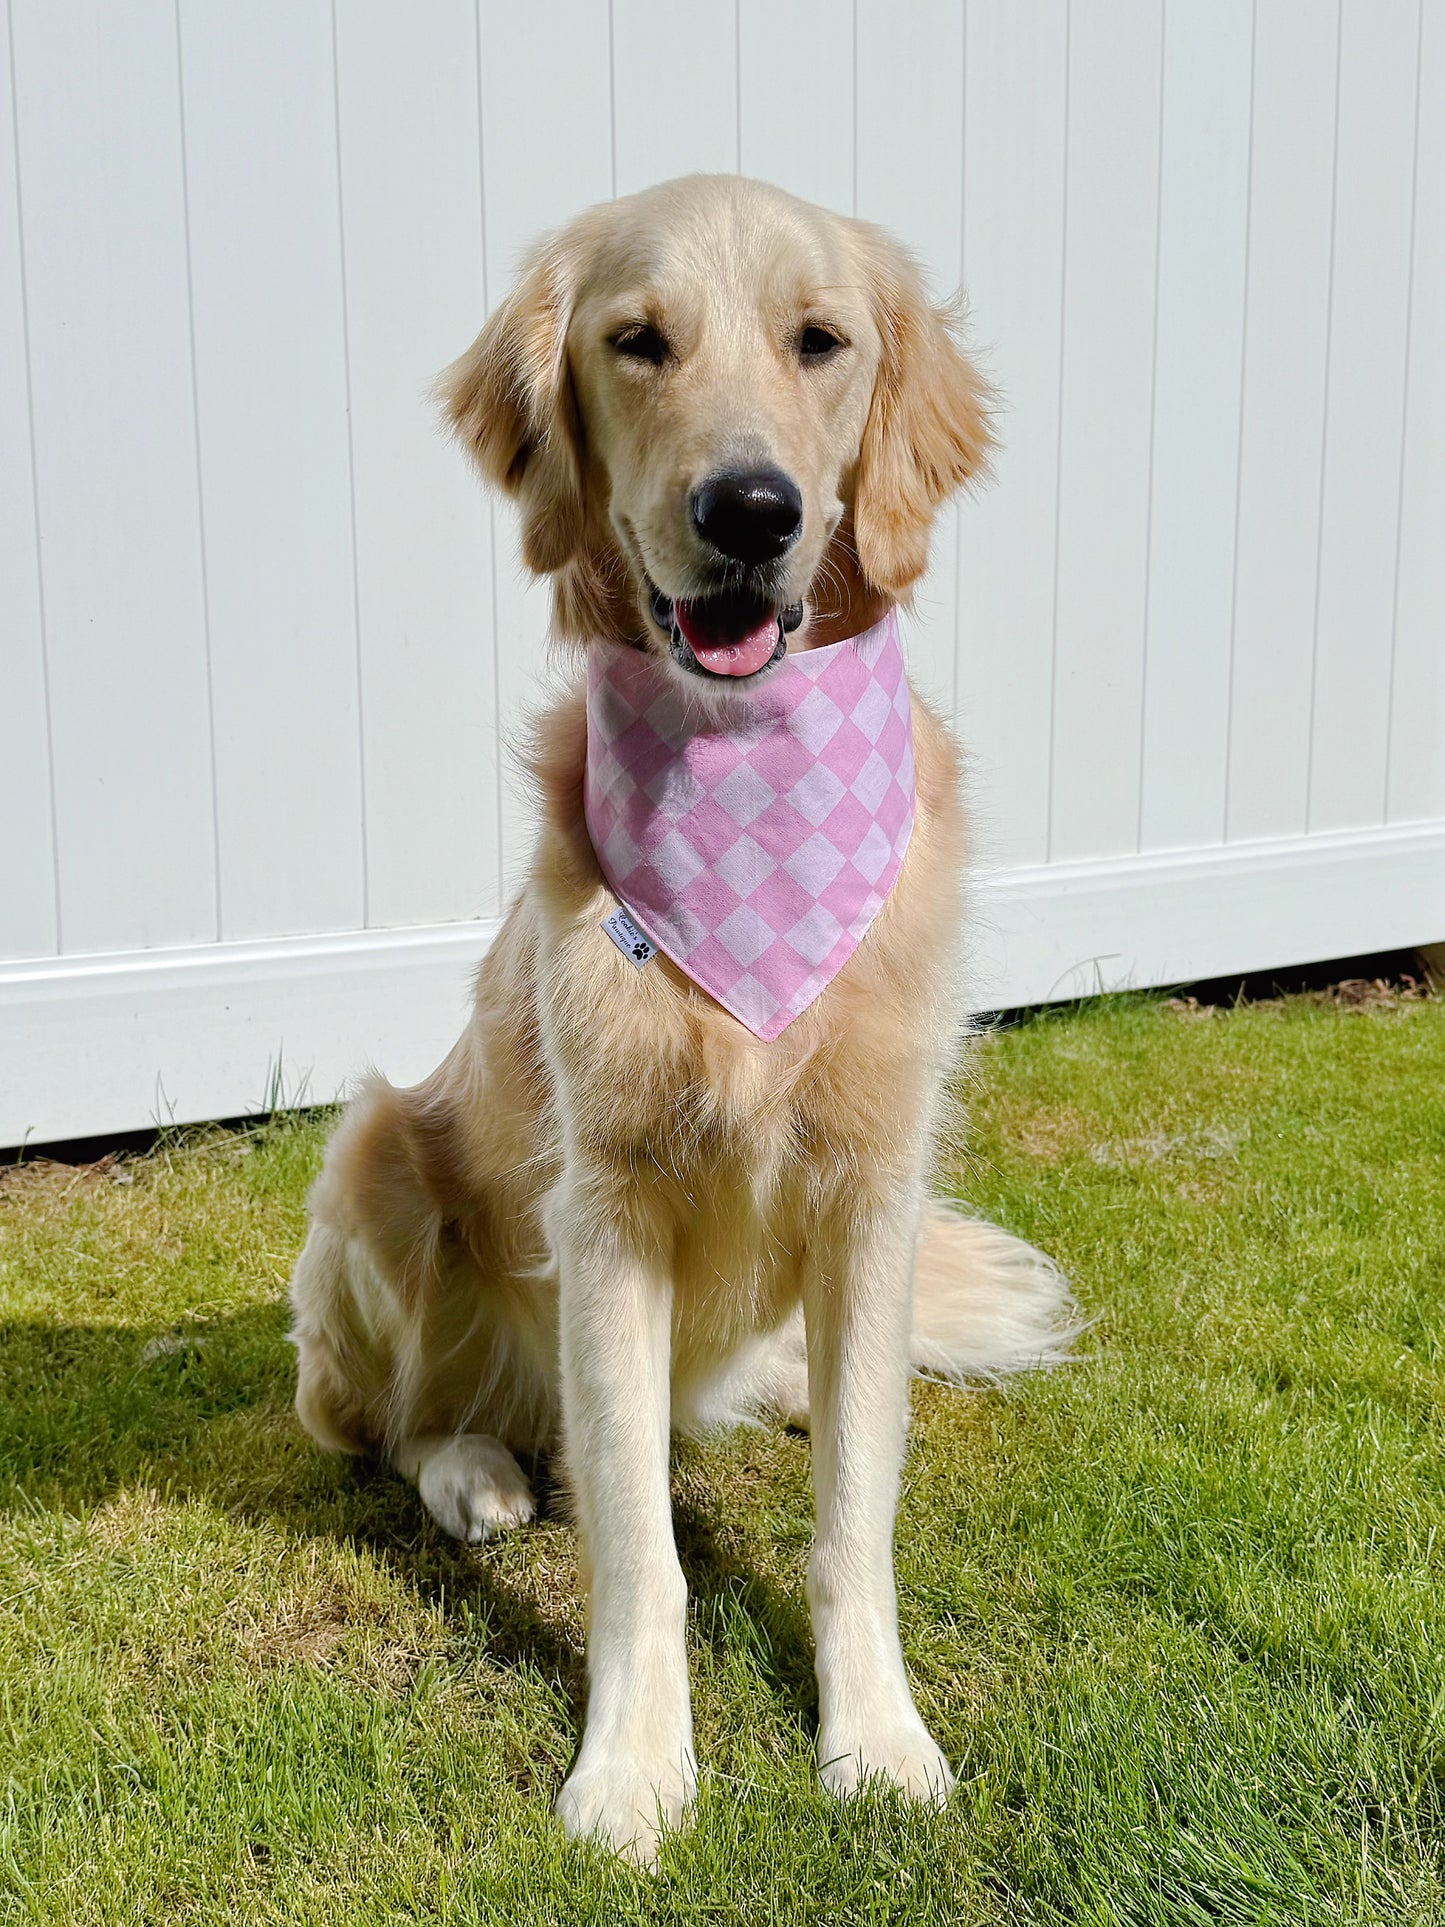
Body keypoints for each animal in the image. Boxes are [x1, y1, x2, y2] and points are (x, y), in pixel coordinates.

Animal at [289, 173, 1078, 1857]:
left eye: (820, 340)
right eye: (638, 340)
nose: (750, 511)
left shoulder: (872, 1191)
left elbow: (856, 1509)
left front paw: (878, 1733)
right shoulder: (607, 1210)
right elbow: (638, 1548)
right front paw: (635, 1767)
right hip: (380, 1154)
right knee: (390, 1422)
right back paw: (474, 1471)